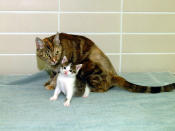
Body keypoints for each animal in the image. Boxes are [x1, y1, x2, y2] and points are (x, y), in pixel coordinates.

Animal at [35, 33, 175, 93]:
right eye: (47, 55)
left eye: (57, 52)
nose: (53, 60)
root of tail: (114, 75)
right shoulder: (54, 70)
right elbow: (52, 76)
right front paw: (49, 82)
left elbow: (56, 78)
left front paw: (51, 85)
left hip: (88, 67)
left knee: (102, 89)